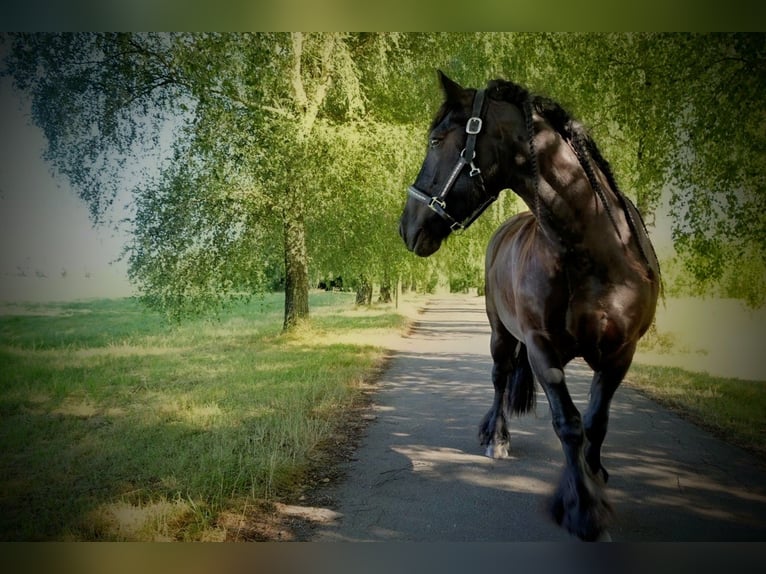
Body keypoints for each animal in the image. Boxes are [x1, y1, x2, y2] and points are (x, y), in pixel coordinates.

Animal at [398, 72, 661, 541]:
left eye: (436, 139)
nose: (406, 226)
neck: (593, 253)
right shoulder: (541, 349)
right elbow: (568, 424)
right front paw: (582, 508)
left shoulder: (620, 353)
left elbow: (596, 422)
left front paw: (595, 477)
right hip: (500, 336)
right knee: (500, 379)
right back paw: (496, 437)